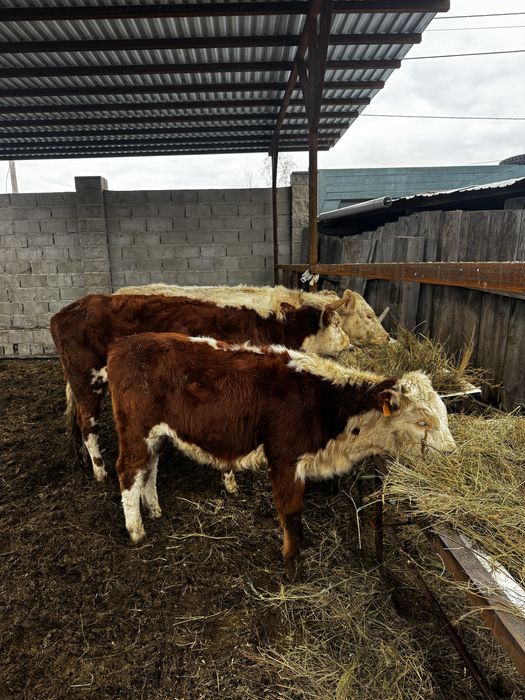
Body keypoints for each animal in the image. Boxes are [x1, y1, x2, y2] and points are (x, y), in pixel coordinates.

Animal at [50, 293, 351, 482]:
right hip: (87, 380)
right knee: (88, 426)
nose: (350, 343)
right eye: (337, 324)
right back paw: (100, 472)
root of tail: (66, 311)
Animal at [106, 332, 456, 578]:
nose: (452, 454)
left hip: (156, 435)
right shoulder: (285, 460)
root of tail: (124, 344)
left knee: (149, 468)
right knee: (128, 471)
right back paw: (136, 530)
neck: (323, 402)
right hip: (135, 431)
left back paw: (154, 509)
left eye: (444, 414)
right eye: (422, 421)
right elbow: (291, 514)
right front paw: (292, 564)